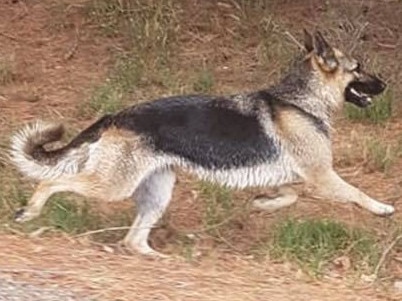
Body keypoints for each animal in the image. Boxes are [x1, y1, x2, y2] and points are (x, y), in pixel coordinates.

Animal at [11, 30, 394, 255]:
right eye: (358, 68)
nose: (386, 85)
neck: (302, 100)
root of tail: (115, 115)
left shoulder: (294, 177)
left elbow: (289, 196)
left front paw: (262, 204)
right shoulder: (323, 176)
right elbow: (357, 193)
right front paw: (382, 209)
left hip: (157, 193)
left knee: (133, 241)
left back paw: (162, 259)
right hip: (112, 185)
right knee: (51, 182)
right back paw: (30, 210)